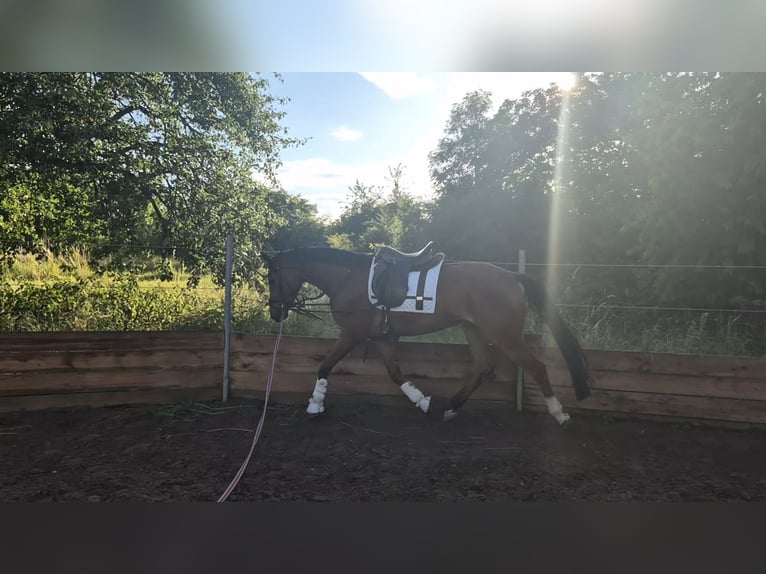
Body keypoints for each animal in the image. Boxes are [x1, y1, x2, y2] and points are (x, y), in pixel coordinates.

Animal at [261, 243, 592, 425]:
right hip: (473, 329)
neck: (348, 278)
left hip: (504, 335)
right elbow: (395, 374)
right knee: (483, 367)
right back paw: (450, 409)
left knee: (536, 367)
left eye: (272, 277)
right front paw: (422, 401)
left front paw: (314, 404)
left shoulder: (352, 334)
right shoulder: (381, 338)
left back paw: (559, 413)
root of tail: (512, 276)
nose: (276, 313)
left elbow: (325, 366)